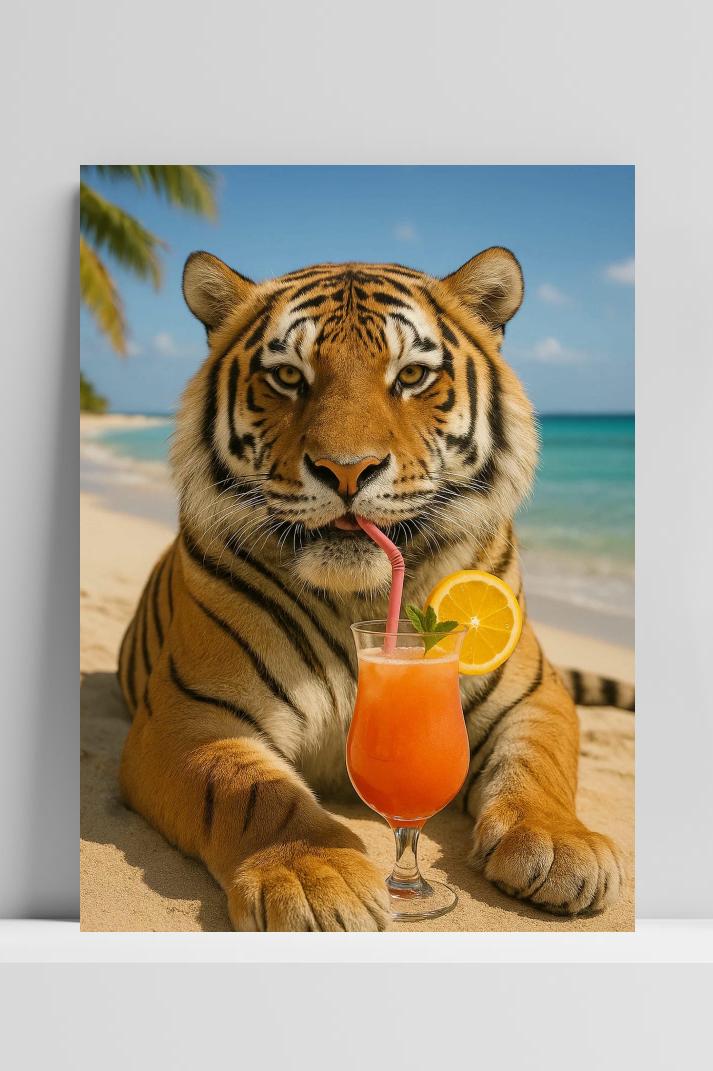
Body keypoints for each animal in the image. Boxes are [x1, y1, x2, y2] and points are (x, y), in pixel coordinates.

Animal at [118, 246, 633, 931]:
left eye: (411, 375)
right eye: (288, 376)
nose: (346, 470)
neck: (361, 600)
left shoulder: (533, 693)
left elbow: (538, 762)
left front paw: (557, 842)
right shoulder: (189, 717)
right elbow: (250, 792)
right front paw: (313, 875)